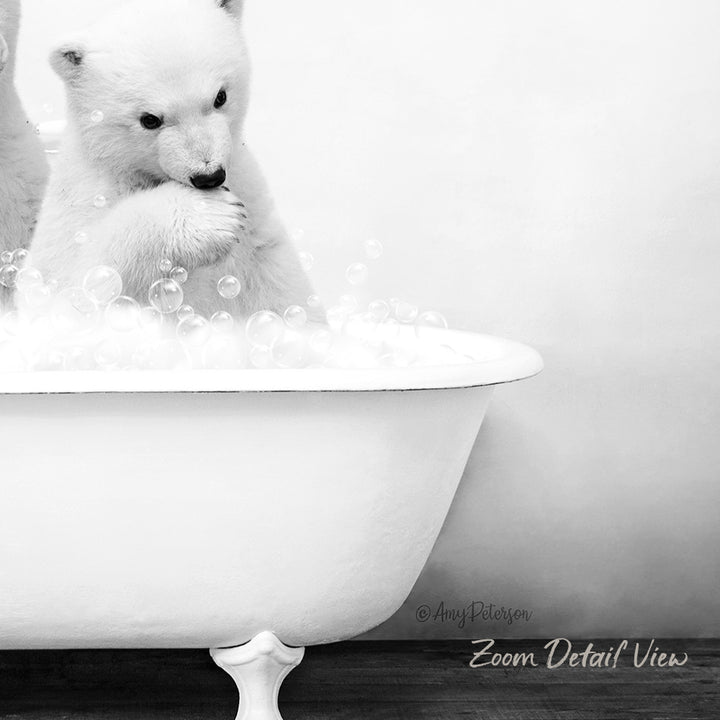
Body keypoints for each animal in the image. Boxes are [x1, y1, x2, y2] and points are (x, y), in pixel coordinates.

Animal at [26, 0, 317, 322]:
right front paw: (211, 216)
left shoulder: (253, 209)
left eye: (220, 97)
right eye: (150, 119)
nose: (208, 175)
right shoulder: (82, 202)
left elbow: (279, 284)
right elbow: (86, 282)